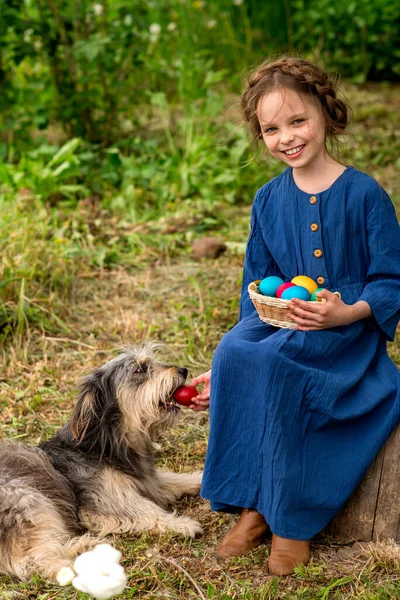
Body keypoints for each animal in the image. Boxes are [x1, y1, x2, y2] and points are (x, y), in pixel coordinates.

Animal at [0, 344, 203, 580]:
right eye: (140, 369)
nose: (183, 370)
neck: (102, 445)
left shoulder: (148, 482)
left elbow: (174, 479)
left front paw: (201, 479)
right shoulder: (106, 500)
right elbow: (147, 510)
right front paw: (182, 523)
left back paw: (83, 546)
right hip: (30, 500)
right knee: (34, 561)